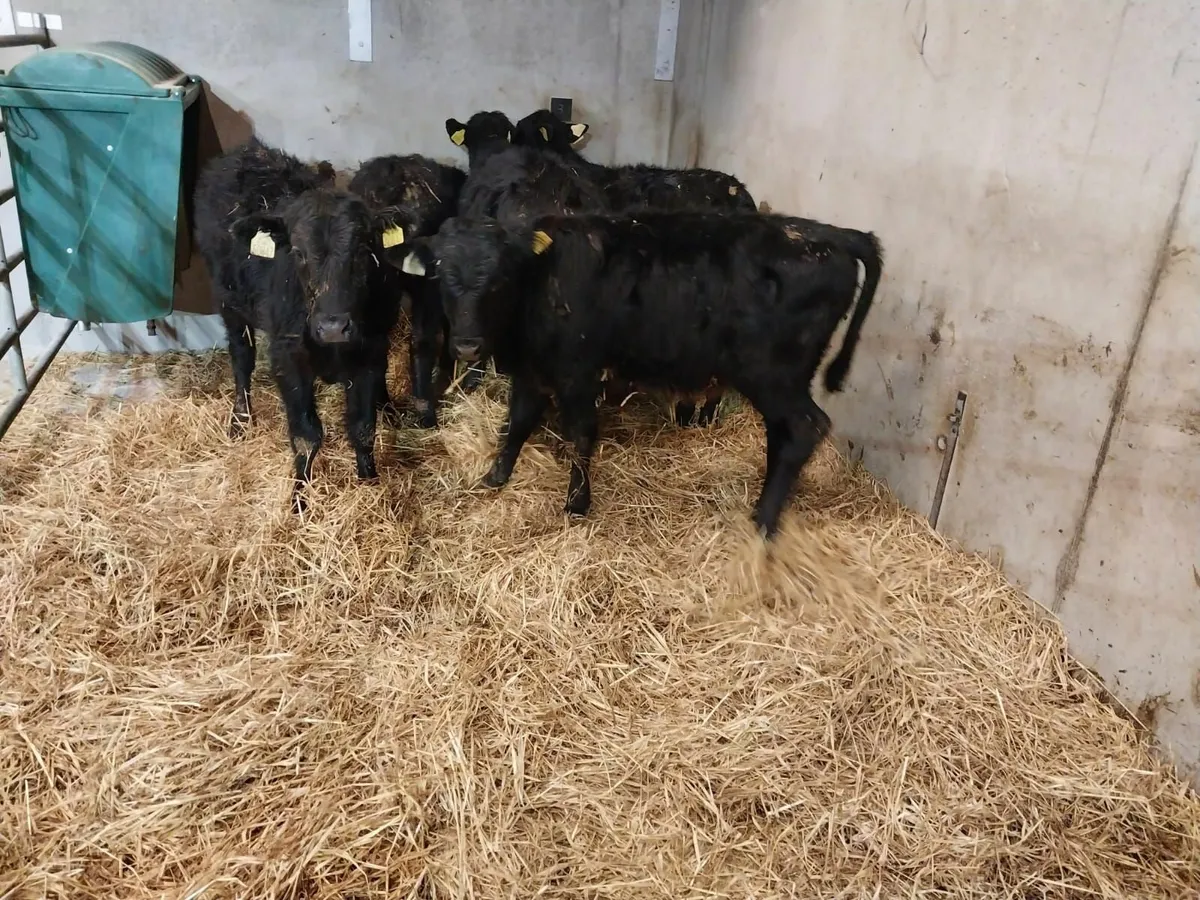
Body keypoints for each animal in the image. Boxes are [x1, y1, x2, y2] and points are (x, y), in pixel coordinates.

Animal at [193, 137, 402, 511]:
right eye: (299, 253)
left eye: (363, 250)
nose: (333, 327)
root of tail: (248, 151)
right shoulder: (288, 360)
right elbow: (306, 435)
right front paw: (299, 501)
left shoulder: (371, 352)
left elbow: (363, 428)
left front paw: (370, 486)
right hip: (229, 303)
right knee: (241, 358)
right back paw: (240, 419)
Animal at [387, 211, 882, 538]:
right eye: (441, 275)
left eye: (501, 277)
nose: (468, 345)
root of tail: (833, 233)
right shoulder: (533, 369)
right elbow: (518, 423)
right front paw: (495, 477)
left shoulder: (578, 370)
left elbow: (581, 432)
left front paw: (577, 502)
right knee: (783, 435)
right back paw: (762, 507)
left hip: (772, 372)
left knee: (804, 427)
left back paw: (763, 523)